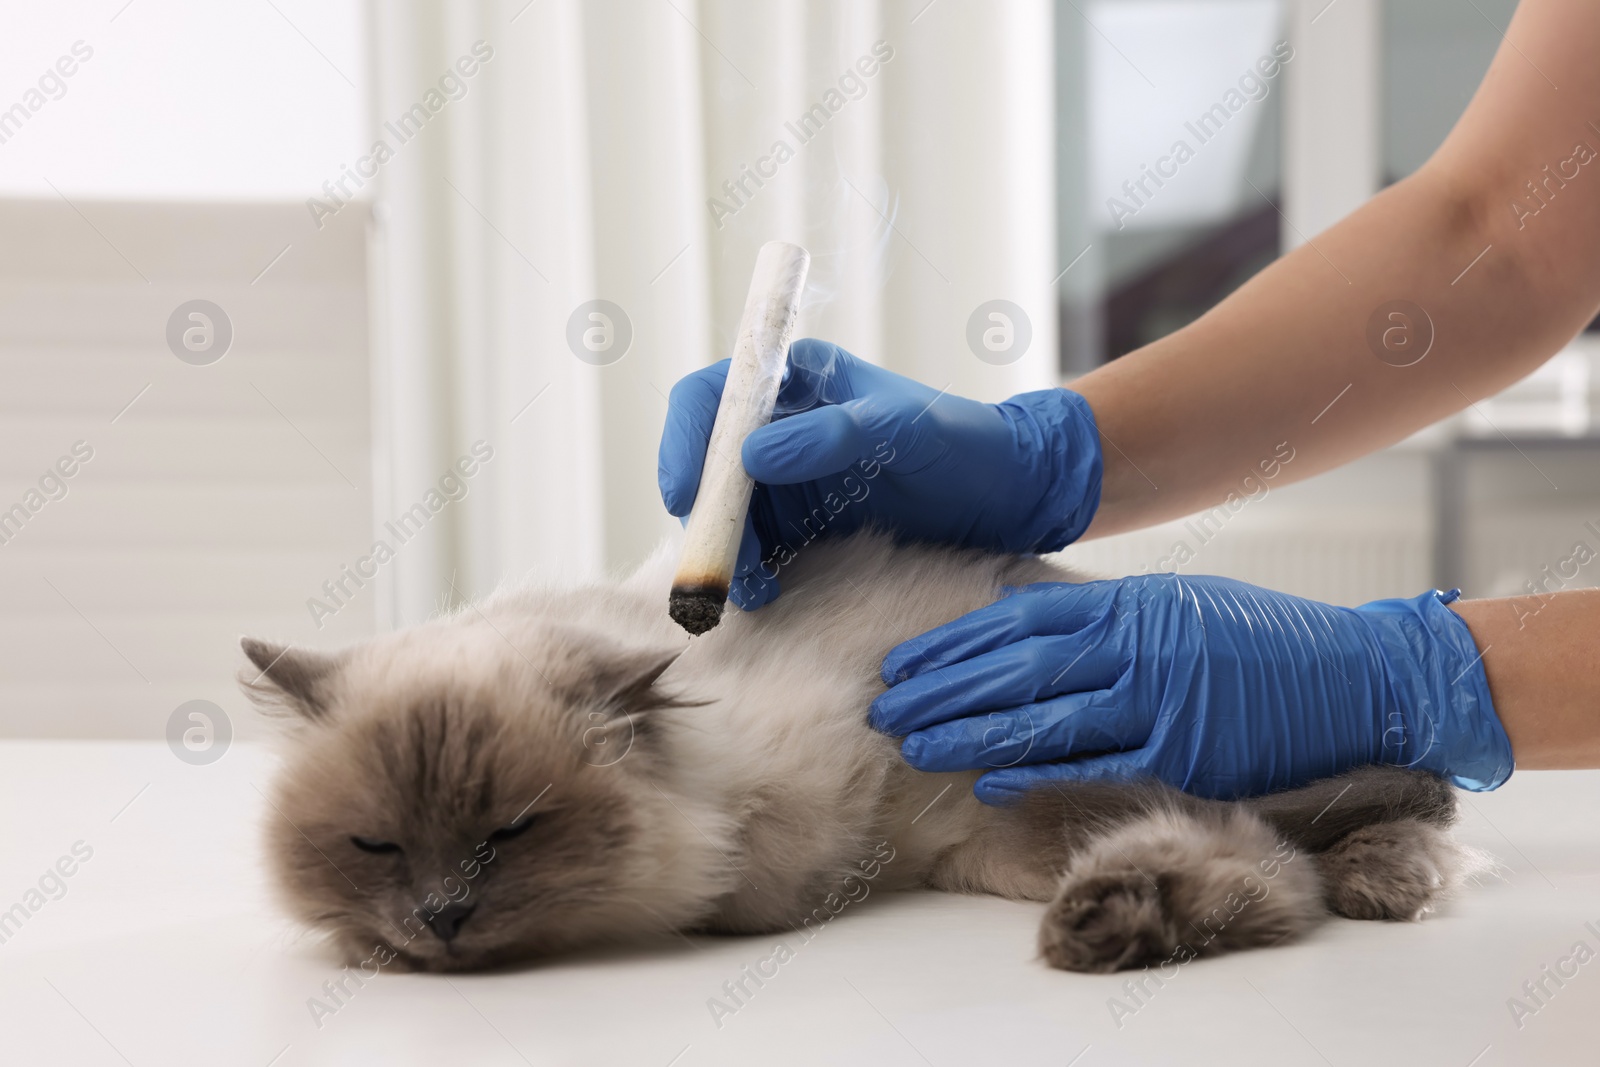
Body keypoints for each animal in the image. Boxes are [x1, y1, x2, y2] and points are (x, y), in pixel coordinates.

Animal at [243, 534, 1478, 979]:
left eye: (508, 833)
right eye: (375, 845)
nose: (442, 916)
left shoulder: (784, 830)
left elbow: (727, 889)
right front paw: (379, 947)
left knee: (1282, 860)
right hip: (1008, 845)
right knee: (1287, 865)